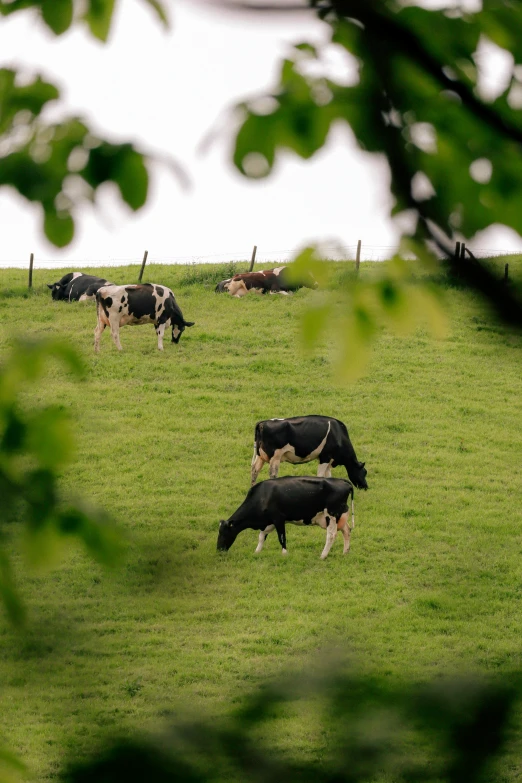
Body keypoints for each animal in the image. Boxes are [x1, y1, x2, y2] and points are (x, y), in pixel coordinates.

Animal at [215, 474, 354, 560]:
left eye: (224, 533)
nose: (219, 550)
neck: (263, 496)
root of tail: (343, 481)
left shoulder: (278, 519)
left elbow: (281, 537)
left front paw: (284, 554)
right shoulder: (268, 522)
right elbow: (261, 537)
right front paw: (257, 552)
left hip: (331, 515)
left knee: (331, 535)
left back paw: (323, 556)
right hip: (341, 516)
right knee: (347, 531)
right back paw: (345, 553)